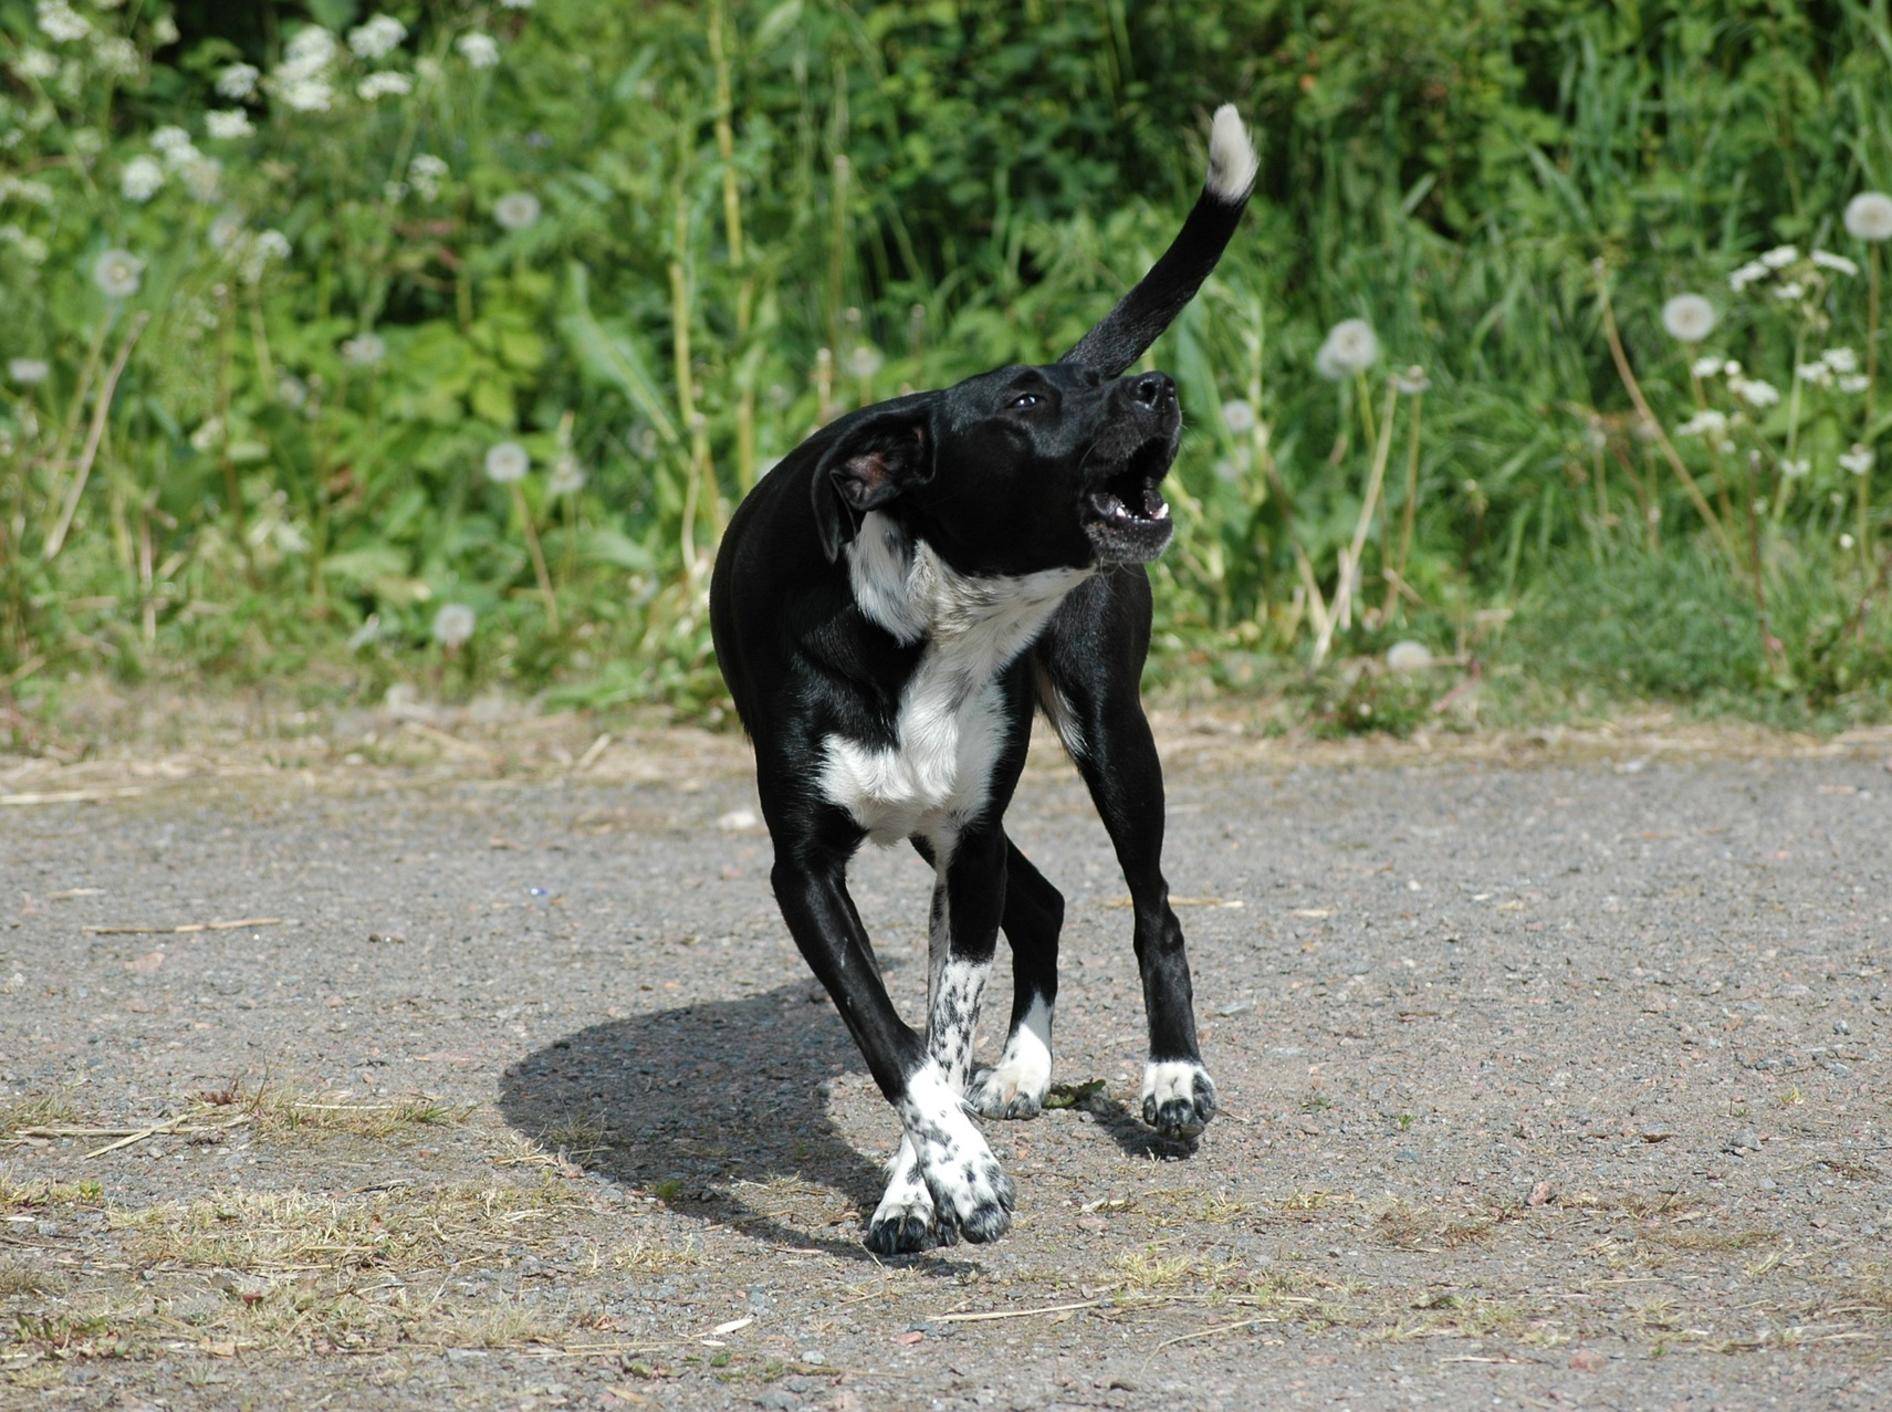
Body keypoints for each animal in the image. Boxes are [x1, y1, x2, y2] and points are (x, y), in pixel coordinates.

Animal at [711, 104, 1256, 1249]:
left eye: (1084, 386)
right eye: (1026, 396)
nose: (1155, 387)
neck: (924, 623)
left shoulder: (965, 849)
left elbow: (936, 1034)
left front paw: (934, 1181)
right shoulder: (811, 871)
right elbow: (895, 1041)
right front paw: (946, 1176)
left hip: (1107, 730)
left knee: (1151, 904)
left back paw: (1170, 1076)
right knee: (1041, 902)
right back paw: (1024, 1071)